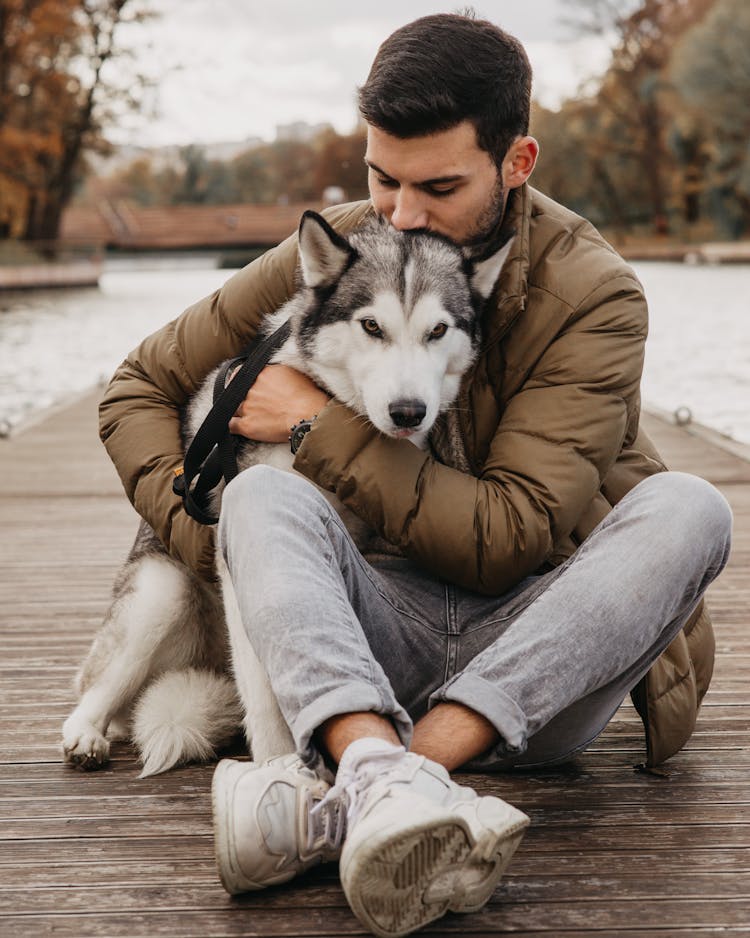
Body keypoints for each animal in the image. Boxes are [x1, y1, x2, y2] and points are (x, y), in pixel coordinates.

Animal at [61, 210, 516, 776]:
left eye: (437, 330)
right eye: (372, 326)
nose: (409, 412)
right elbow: (265, 689)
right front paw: (278, 765)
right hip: (160, 595)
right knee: (96, 688)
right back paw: (85, 735)